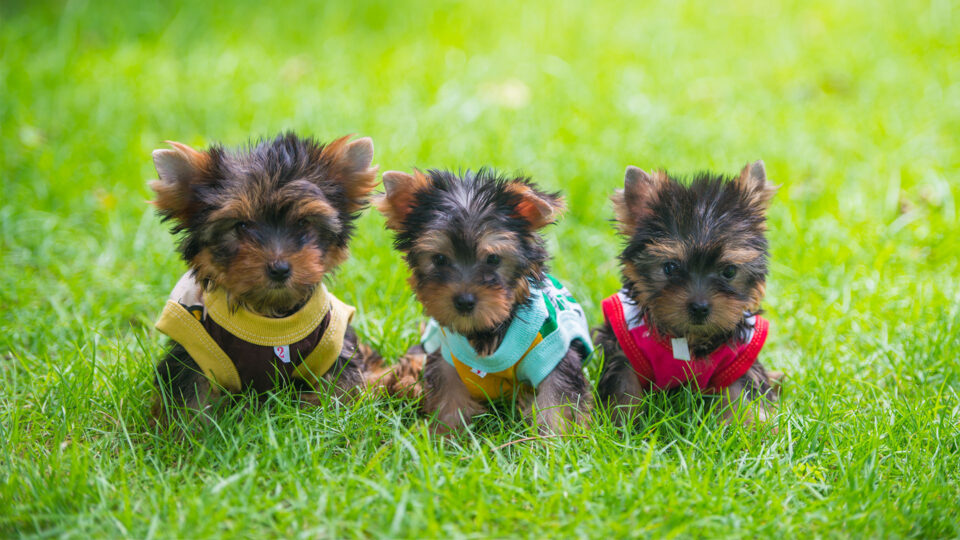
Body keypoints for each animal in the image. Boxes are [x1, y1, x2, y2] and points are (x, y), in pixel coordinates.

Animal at [150, 131, 378, 422]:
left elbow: (339, 388)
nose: (279, 268)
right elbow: (191, 393)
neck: (270, 317)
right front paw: (187, 430)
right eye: (241, 225)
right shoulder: (196, 351)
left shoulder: (332, 346)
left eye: (303, 222)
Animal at [374, 170, 592, 434]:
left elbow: (557, 399)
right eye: (439, 259)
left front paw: (554, 437)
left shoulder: (554, 353)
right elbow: (447, 394)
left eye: (493, 259)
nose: (464, 301)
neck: (486, 328)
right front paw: (445, 434)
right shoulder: (445, 356)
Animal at [596, 160, 784, 426]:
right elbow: (624, 388)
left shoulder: (738, 356)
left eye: (729, 271)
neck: (688, 338)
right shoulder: (625, 351)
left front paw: (754, 426)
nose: (700, 307)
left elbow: (744, 391)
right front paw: (621, 425)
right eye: (671, 268)